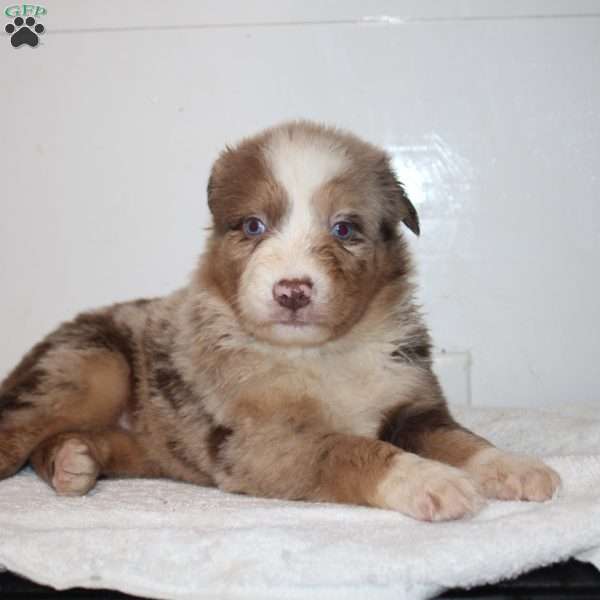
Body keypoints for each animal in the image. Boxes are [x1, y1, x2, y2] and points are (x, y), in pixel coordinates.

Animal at [0, 120, 556, 520]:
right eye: (253, 225)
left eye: (344, 228)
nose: (292, 291)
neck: (323, 353)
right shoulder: (258, 440)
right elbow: (349, 448)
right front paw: (431, 481)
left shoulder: (413, 407)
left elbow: (462, 440)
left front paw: (514, 466)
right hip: (89, 367)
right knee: (17, 430)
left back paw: (75, 462)